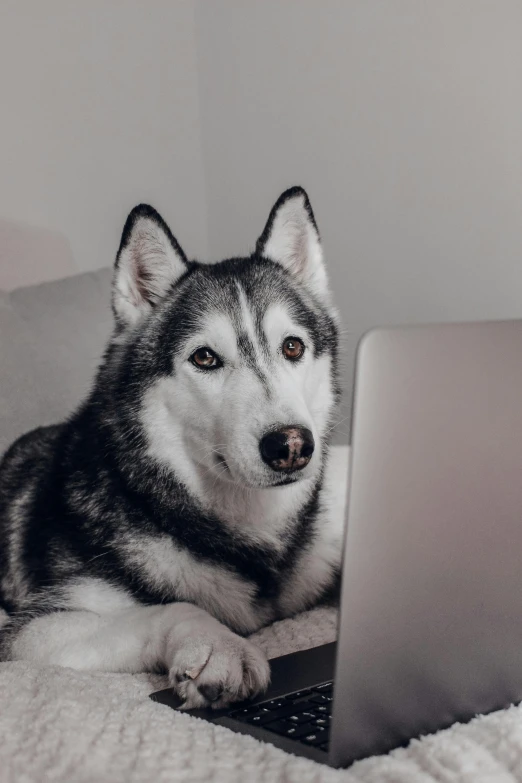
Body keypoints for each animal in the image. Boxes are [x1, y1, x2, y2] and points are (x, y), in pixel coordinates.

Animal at [0, 187, 342, 708]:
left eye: (292, 347)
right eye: (204, 358)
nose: (291, 445)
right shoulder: (32, 632)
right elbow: (172, 607)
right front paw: (218, 646)